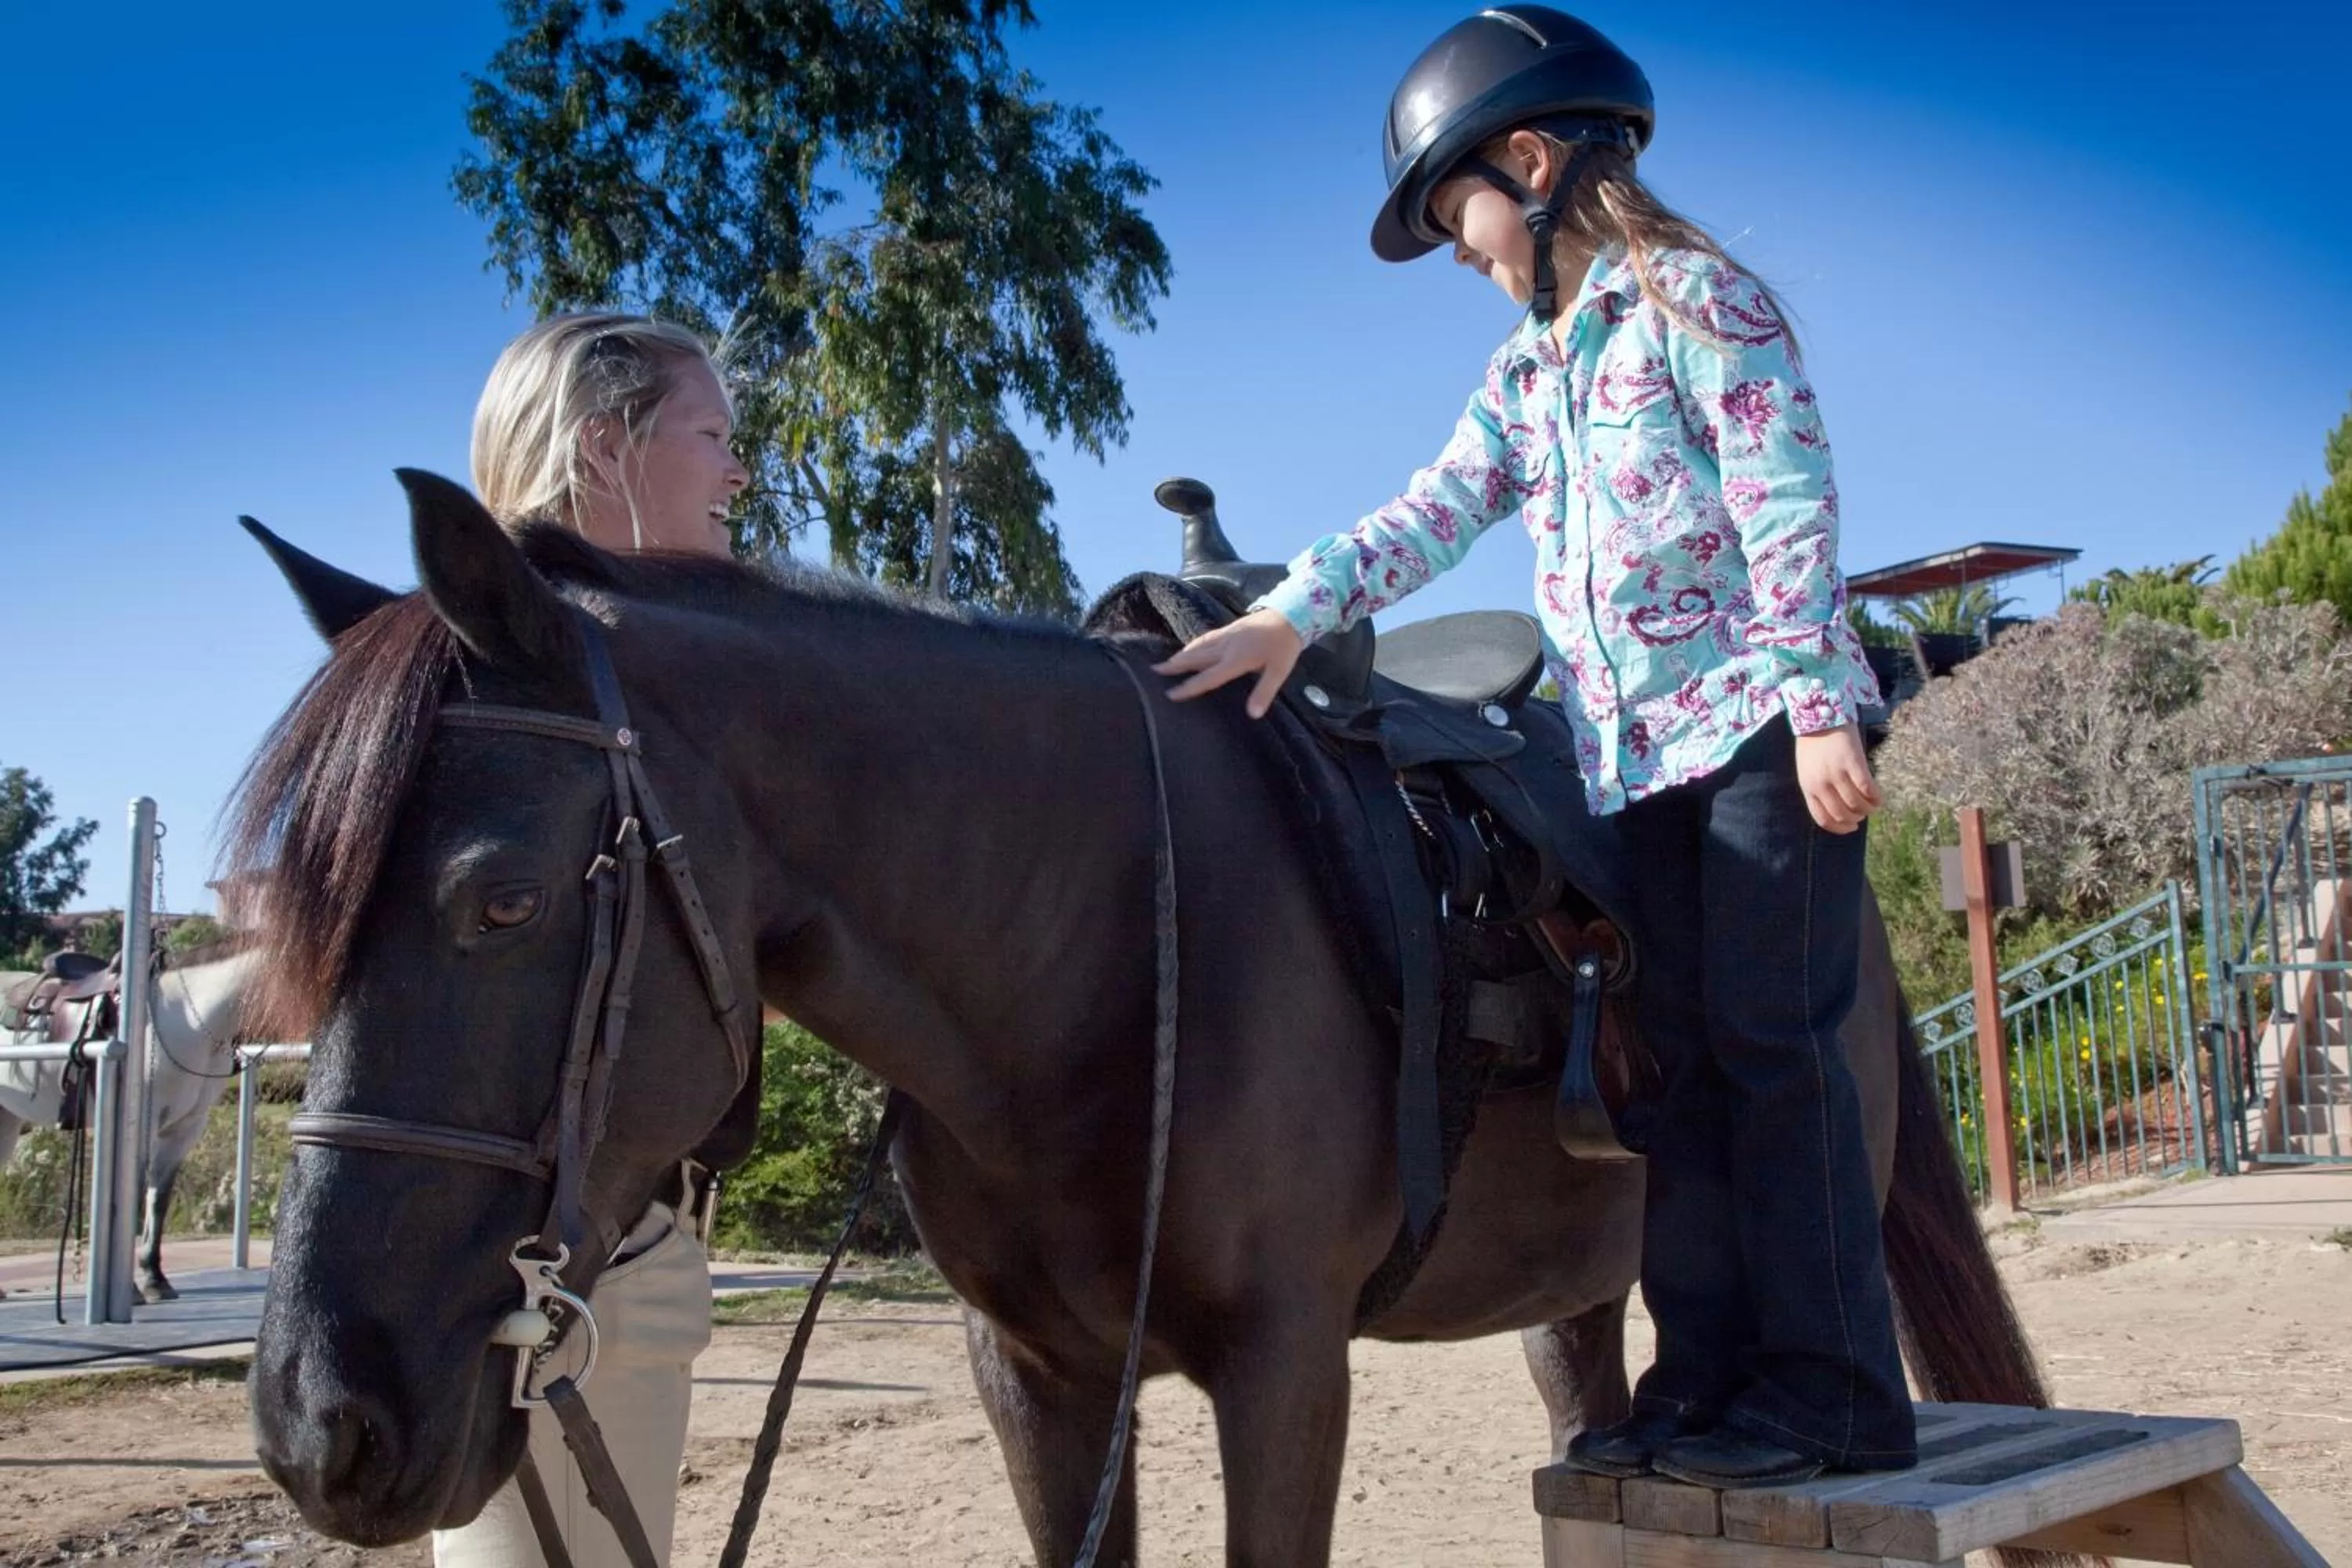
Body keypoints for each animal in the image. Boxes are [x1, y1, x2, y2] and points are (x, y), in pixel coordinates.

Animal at [1, 939, 263, 1303]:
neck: (191, 1015)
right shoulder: (142, 1125)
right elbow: (132, 1199)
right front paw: (133, 1288)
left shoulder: (185, 1128)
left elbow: (158, 1199)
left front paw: (155, 1277)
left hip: (7, 1119)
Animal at [239, 470, 2049, 1565]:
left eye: (501, 902)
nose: (321, 1420)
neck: (1090, 951)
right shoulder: (1038, 1381)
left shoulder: (1285, 1369)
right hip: (1575, 1293)